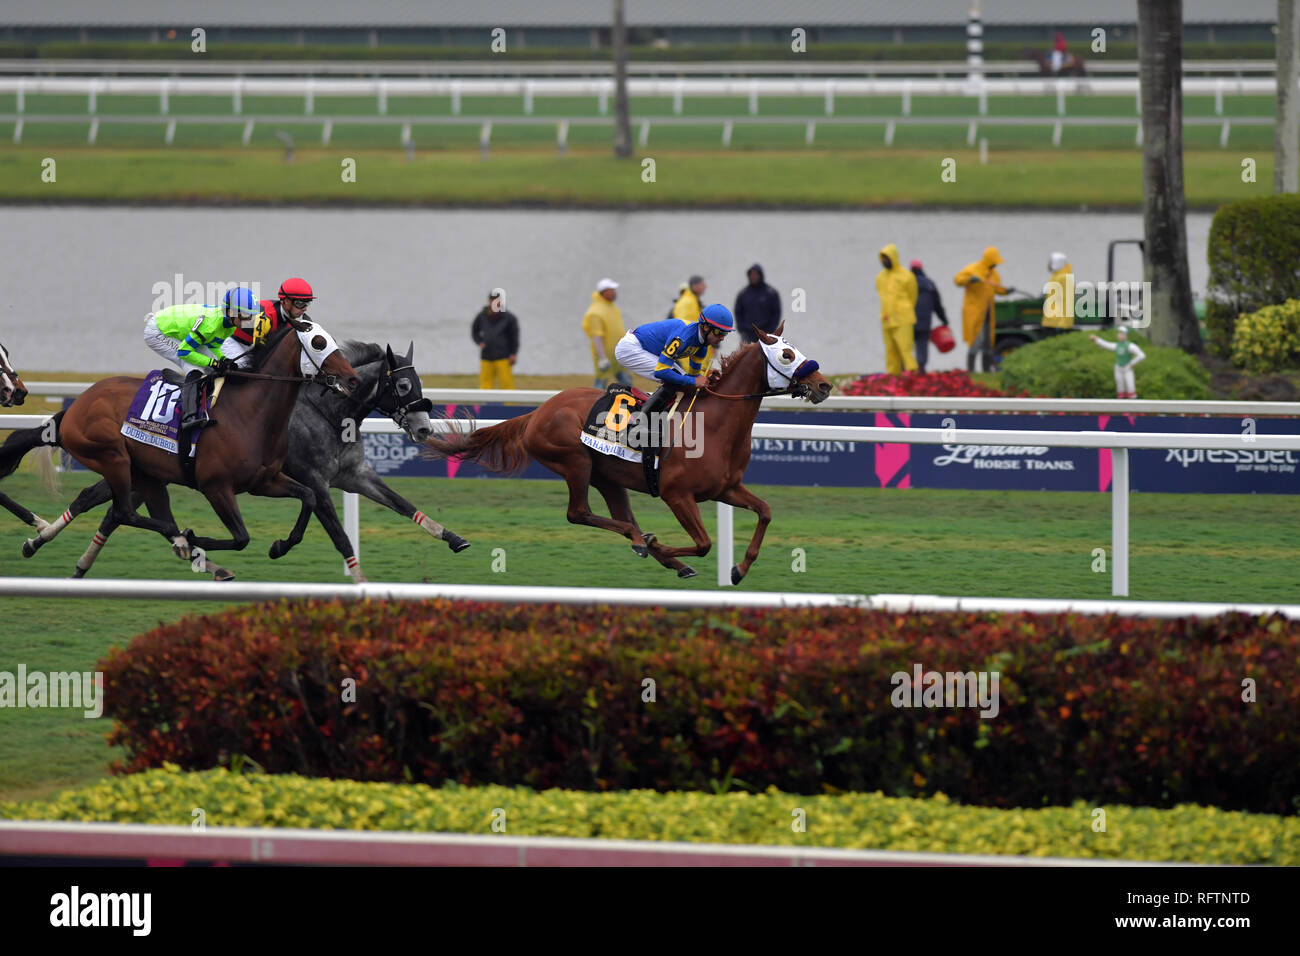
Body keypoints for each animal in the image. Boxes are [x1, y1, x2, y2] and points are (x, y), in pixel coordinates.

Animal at [0, 317, 361, 580]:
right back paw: (183, 540)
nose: (353, 379)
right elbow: (241, 537)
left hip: (146, 474)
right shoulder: (216, 487)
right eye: (318, 342)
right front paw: (195, 537)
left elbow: (309, 497)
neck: (249, 413)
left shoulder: (265, 481)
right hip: (112, 457)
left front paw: (280, 545)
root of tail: (77, 405)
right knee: (125, 511)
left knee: (124, 510)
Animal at [20, 343, 470, 582]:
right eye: (404, 384)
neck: (327, 412)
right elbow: (339, 535)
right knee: (96, 499)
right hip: (128, 465)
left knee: (113, 510)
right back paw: (41, 540)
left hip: (143, 472)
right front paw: (357, 581)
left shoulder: (355, 475)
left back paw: (76, 561)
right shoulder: (316, 481)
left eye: (420, 384)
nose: (424, 428)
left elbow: (404, 505)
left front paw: (453, 537)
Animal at [426, 325, 832, 582]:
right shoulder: (676, 494)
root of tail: (537, 412)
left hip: (608, 477)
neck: (715, 425)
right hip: (575, 462)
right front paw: (662, 545)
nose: (824, 385)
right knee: (579, 513)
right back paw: (643, 541)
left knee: (618, 516)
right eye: (787, 353)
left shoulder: (726, 489)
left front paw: (739, 569)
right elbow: (703, 544)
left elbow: (765, 511)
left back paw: (654, 550)